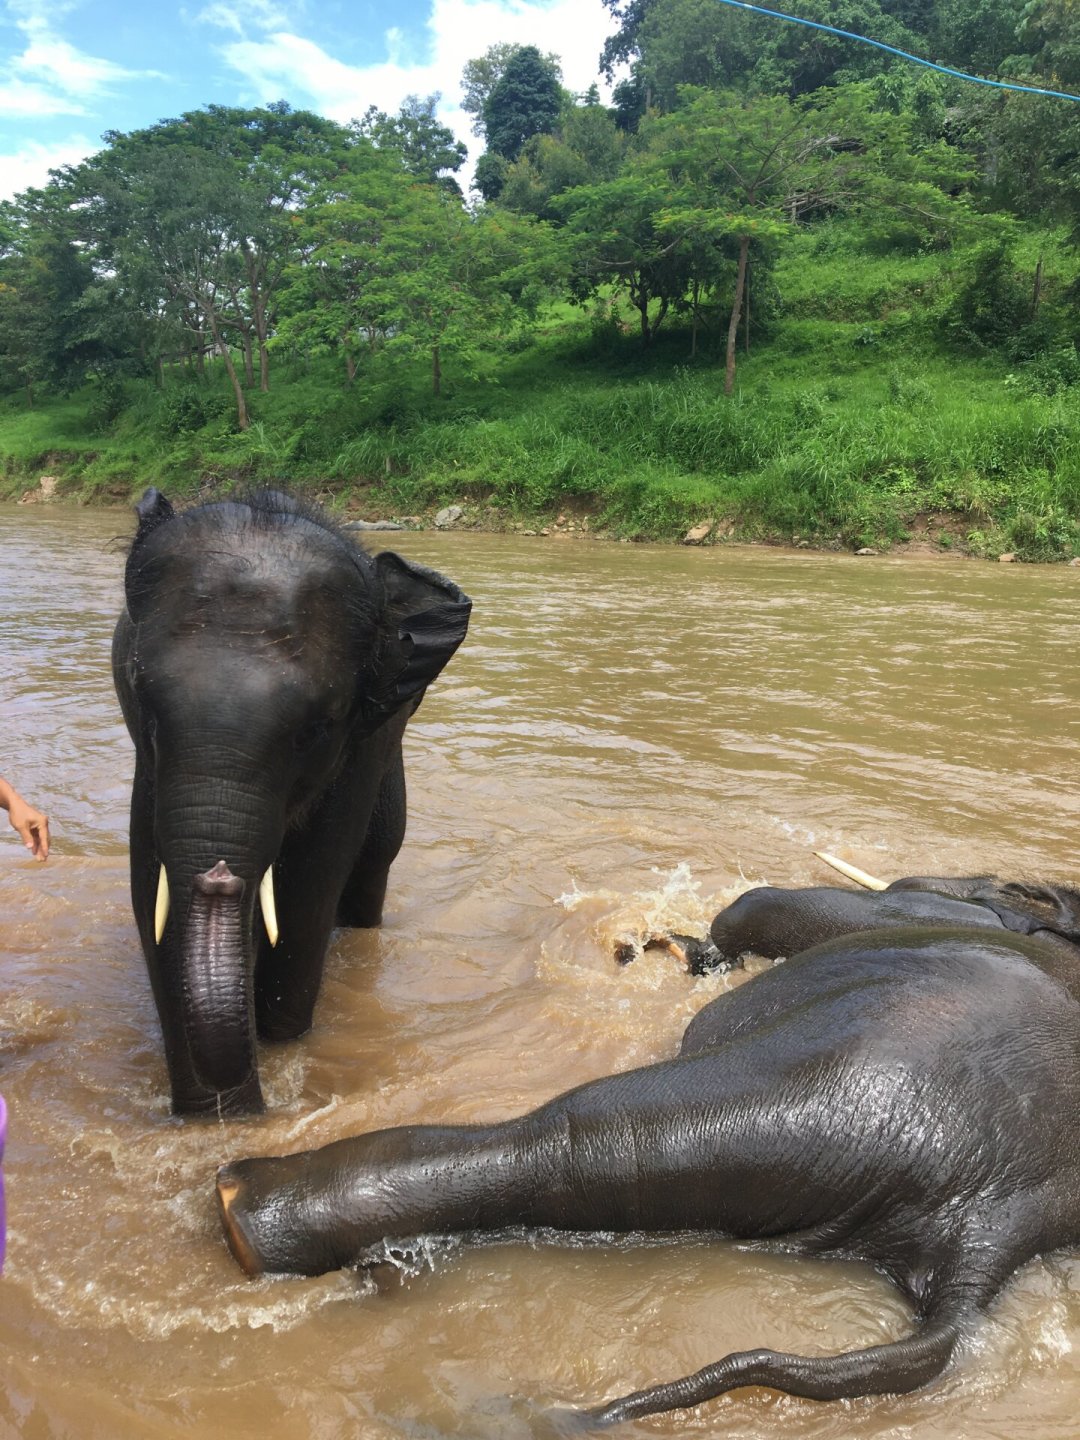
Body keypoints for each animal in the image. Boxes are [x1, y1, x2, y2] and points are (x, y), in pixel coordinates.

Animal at [112, 488, 471, 1117]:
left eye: (315, 729)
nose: (219, 877)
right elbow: (149, 898)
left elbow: (307, 890)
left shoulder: (359, 748)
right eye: (146, 706)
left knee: (373, 863)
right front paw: (207, 1119)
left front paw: (278, 1046)